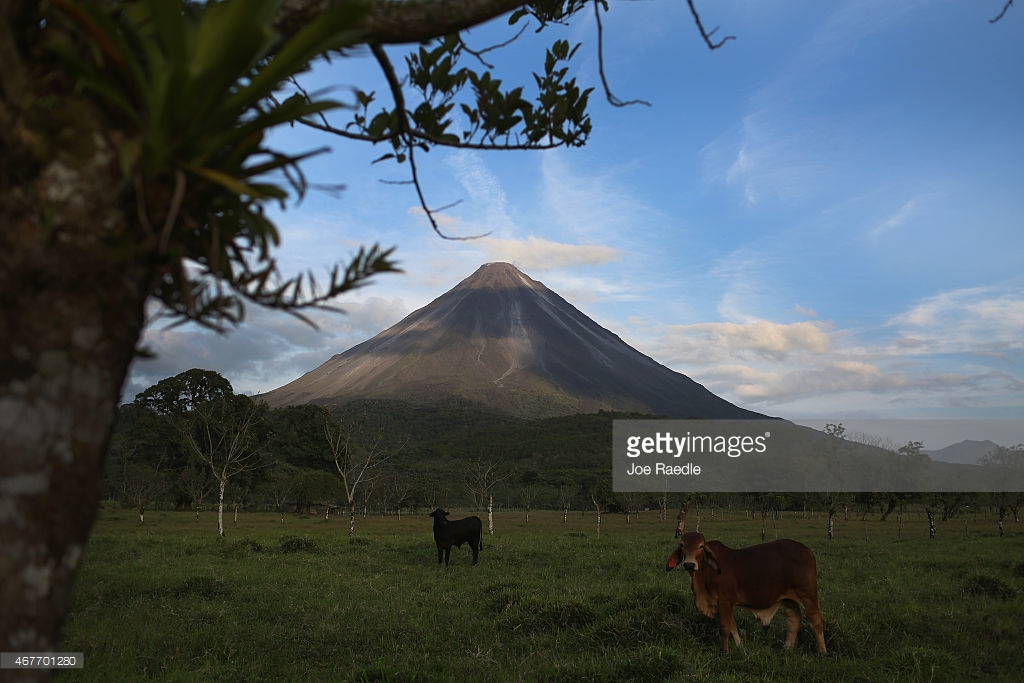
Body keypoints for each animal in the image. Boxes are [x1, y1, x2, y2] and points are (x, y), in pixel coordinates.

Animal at [666, 531, 827, 654]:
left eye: (701, 546)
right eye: (682, 545)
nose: (689, 564)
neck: (706, 572)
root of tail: (807, 550)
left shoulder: (725, 600)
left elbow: (725, 627)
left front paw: (725, 652)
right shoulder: (723, 604)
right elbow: (733, 626)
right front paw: (739, 646)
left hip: (808, 594)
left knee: (816, 619)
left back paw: (822, 652)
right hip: (789, 599)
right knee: (794, 619)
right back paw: (787, 648)